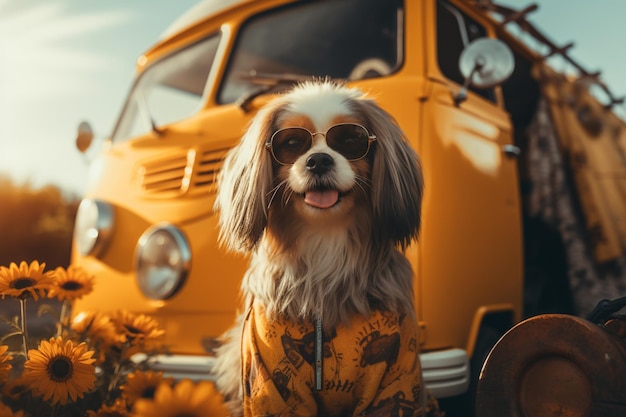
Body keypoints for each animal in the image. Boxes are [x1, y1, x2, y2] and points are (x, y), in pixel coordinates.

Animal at [212, 79, 426, 414]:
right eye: (291, 142)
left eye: (351, 139)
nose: (319, 160)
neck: (324, 243)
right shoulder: (271, 379)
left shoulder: (395, 372)